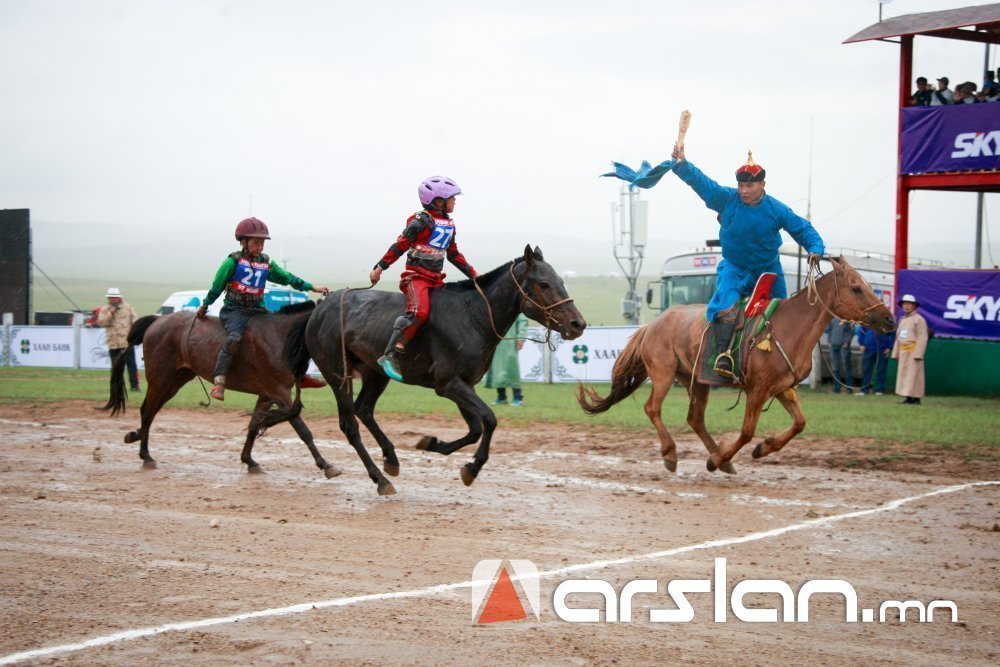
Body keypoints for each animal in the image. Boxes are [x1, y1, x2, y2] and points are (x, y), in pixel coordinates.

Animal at [104, 302, 340, 480]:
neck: (279, 335)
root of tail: (157, 320)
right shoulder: (279, 391)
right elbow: (302, 429)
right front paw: (326, 465)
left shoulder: (267, 393)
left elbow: (254, 425)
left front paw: (249, 460)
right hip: (161, 379)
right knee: (147, 411)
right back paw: (145, 455)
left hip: (175, 380)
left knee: (150, 412)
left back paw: (135, 437)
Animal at [290, 245, 584, 496]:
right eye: (544, 284)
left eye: (562, 281)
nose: (577, 324)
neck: (474, 316)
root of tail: (321, 307)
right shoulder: (449, 384)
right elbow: (489, 420)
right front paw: (472, 468)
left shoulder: (464, 384)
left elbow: (475, 428)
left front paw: (432, 444)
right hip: (337, 372)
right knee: (350, 425)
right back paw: (380, 479)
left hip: (376, 373)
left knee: (364, 409)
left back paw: (391, 459)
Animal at [576, 258, 896, 474]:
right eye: (856, 288)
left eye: (869, 286)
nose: (889, 319)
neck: (788, 328)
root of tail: (652, 325)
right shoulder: (758, 390)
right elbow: (746, 432)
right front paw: (722, 458)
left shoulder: (782, 388)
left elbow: (799, 423)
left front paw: (761, 449)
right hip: (664, 374)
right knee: (652, 408)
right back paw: (672, 454)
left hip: (696, 381)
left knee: (695, 418)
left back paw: (718, 457)